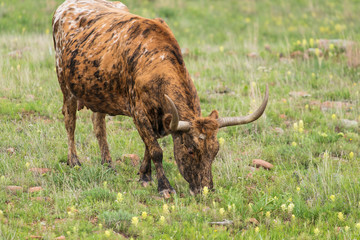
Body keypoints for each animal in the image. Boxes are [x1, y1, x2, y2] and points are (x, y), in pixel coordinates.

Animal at [52, 0, 268, 195]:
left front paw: (145, 176)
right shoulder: (139, 114)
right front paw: (164, 187)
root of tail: (65, 6)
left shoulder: (159, 118)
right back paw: (74, 162)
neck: (154, 62)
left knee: (99, 125)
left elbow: (149, 146)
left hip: (99, 94)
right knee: (70, 123)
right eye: (191, 149)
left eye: (215, 151)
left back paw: (108, 164)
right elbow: (156, 150)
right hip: (66, 87)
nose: (205, 190)